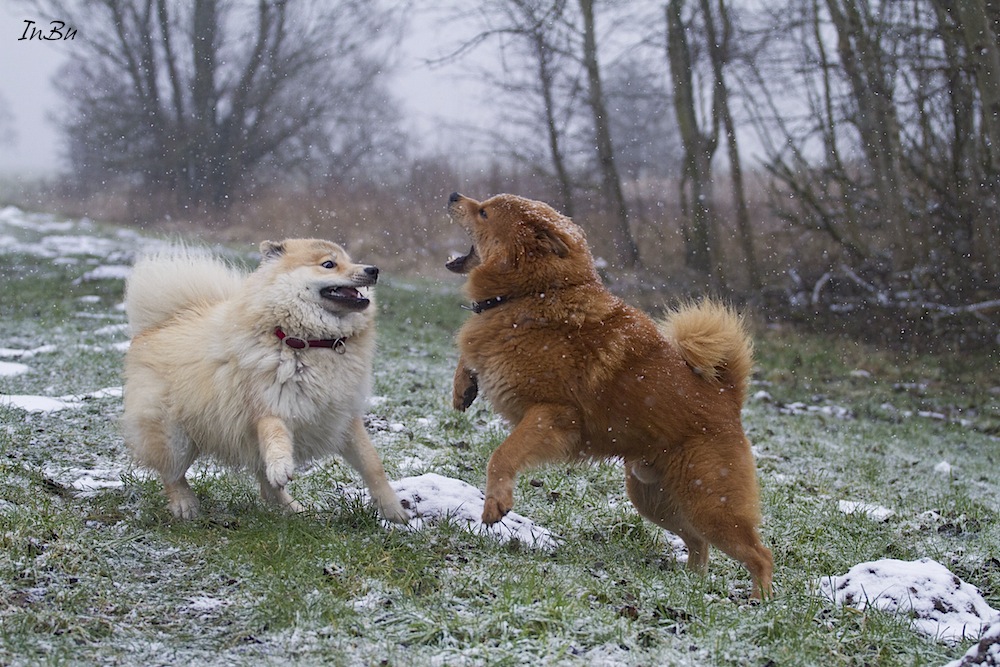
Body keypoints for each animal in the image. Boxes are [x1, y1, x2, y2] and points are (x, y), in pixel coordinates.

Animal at [446, 192, 772, 600]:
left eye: (484, 212)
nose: (453, 196)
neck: (530, 294)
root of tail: (728, 397)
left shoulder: (552, 415)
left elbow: (501, 456)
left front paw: (496, 503)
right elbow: (469, 355)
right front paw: (463, 388)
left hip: (712, 505)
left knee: (759, 555)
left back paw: (760, 603)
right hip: (653, 499)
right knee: (699, 544)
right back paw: (689, 587)